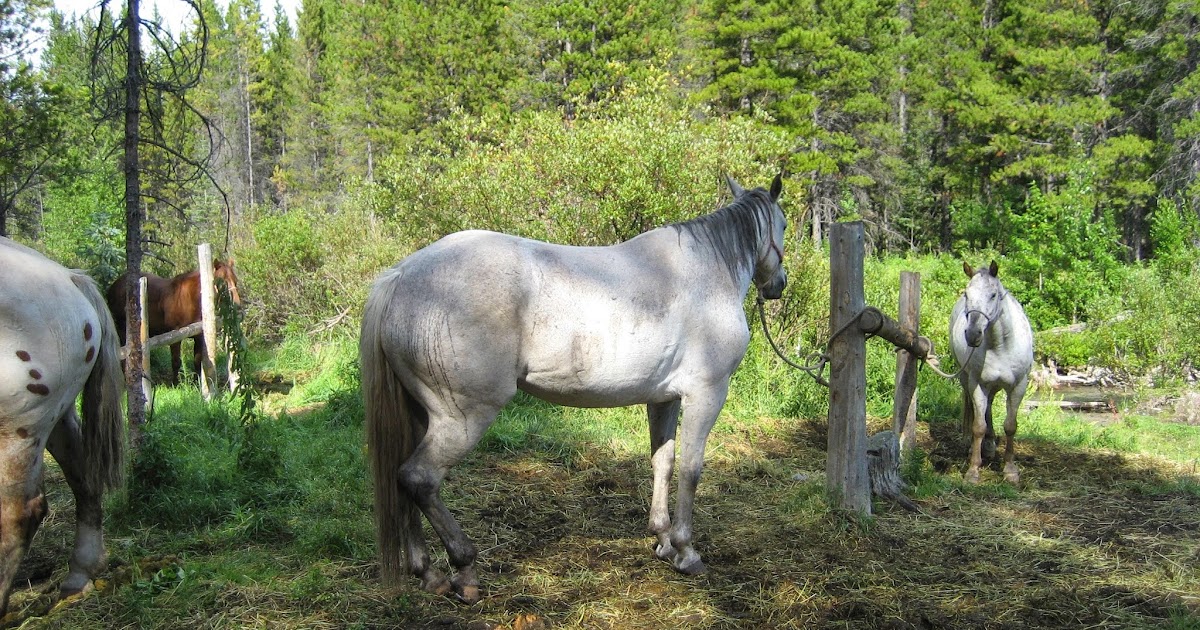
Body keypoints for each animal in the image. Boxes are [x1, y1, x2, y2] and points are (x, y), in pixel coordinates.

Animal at [0, 237, 127, 616]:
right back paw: (80, 574)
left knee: (19, 514)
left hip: (21, 425)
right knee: (85, 479)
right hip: (57, 418)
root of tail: (69, 279)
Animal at [106, 259, 242, 385]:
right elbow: (176, 362)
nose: (237, 305)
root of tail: (113, 287)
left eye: (235, 281)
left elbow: (197, 360)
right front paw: (175, 384)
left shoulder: (198, 336)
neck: (189, 299)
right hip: (122, 329)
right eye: (223, 282)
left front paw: (196, 383)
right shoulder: (175, 336)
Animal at [360, 174, 787, 603]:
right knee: (419, 478)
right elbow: (691, 469)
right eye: (783, 225)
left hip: (420, 416)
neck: (705, 274)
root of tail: (400, 277)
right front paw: (685, 551)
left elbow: (662, 463)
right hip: (462, 418)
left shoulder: (664, 399)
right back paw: (464, 569)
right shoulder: (707, 393)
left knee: (403, 481)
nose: (778, 286)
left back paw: (428, 571)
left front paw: (663, 540)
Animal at [950, 260, 1034, 484]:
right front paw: (973, 471)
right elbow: (978, 426)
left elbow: (1011, 426)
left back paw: (989, 446)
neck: (1000, 346)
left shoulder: (1018, 386)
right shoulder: (977, 384)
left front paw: (1010, 470)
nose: (972, 334)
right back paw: (977, 446)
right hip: (968, 380)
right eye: (967, 294)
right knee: (979, 409)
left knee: (989, 406)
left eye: (993, 295)